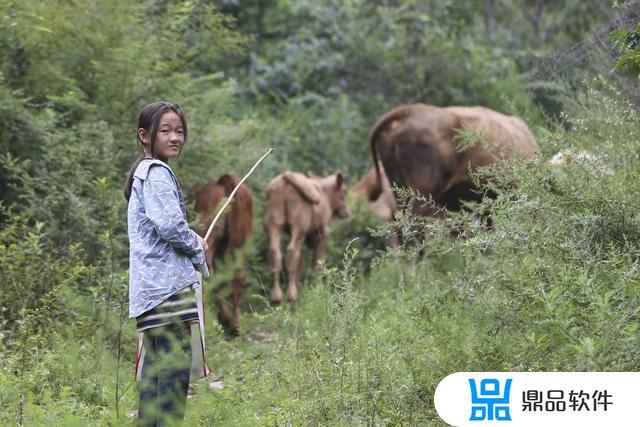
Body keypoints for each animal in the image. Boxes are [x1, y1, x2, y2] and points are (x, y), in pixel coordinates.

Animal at [264, 172, 350, 306]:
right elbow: (318, 262)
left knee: (275, 253)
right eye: (344, 192)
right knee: (292, 253)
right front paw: (319, 290)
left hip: (274, 223)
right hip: (299, 226)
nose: (346, 212)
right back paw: (291, 295)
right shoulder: (322, 233)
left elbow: (301, 264)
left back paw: (276, 297)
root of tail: (286, 178)